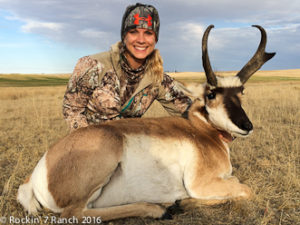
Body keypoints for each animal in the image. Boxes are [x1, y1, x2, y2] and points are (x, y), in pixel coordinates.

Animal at [16, 24, 274, 221]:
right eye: (211, 94)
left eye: (241, 91)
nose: (246, 126)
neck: (200, 131)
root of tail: (39, 170)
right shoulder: (201, 184)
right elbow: (244, 188)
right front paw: (183, 202)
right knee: (74, 214)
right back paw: (157, 209)